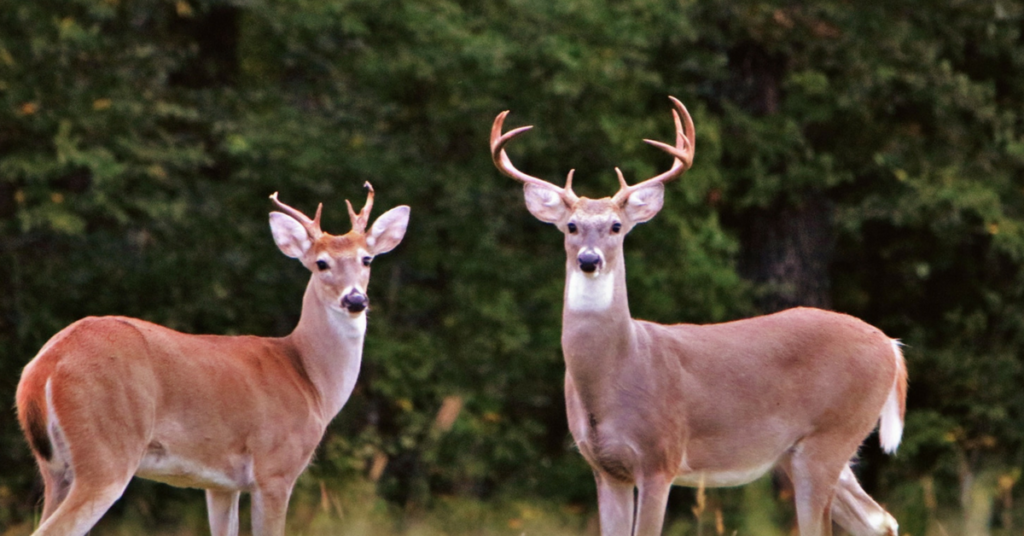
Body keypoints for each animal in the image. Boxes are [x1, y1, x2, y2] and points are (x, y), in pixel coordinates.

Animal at [14, 184, 407, 536]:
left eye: (367, 258)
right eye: (321, 263)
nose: (355, 300)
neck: (308, 377)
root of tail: (43, 367)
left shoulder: (221, 484)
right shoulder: (275, 467)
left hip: (55, 468)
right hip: (106, 450)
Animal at [491, 97, 909, 536]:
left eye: (616, 226)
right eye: (571, 226)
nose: (590, 260)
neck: (618, 369)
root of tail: (891, 345)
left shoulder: (661, 456)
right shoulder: (605, 468)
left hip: (832, 434)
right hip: (802, 452)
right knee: (879, 520)